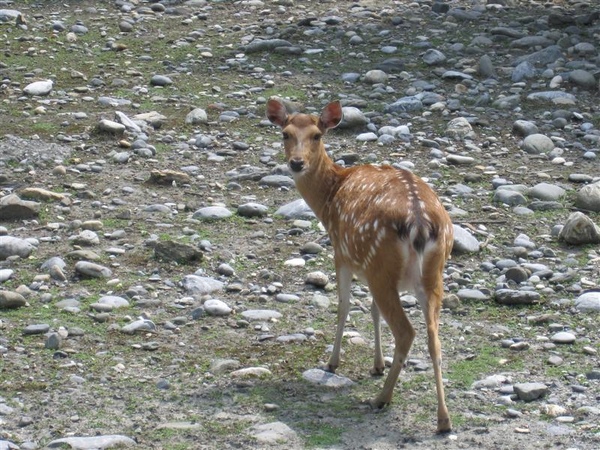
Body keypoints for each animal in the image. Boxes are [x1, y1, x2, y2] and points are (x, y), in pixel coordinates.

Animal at [268, 98, 454, 432]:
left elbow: (343, 307)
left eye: (317, 135)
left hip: (382, 266)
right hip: (430, 276)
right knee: (435, 338)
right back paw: (443, 420)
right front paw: (377, 365)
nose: (296, 163)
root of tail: (420, 223)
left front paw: (333, 362)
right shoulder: (367, 268)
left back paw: (381, 399)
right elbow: (372, 311)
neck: (330, 198)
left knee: (406, 332)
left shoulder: (343, 255)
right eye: (285, 134)